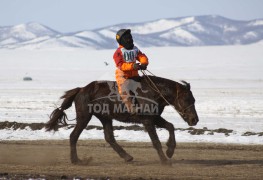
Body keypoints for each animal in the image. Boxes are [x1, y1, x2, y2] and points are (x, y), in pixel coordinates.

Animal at [45, 74, 199, 165]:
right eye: (186, 99)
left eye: (193, 99)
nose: (194, 120)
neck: (153, 92)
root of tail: (81, 89)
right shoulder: (148, 121)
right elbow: (155, 141)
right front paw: (165, 160)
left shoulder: (155, 117)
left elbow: (170, 126)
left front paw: (170, 151)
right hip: (84, 117)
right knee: (74, 135)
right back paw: (76, 160)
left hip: (105, 118)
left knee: (109, 137)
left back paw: (127, 157)